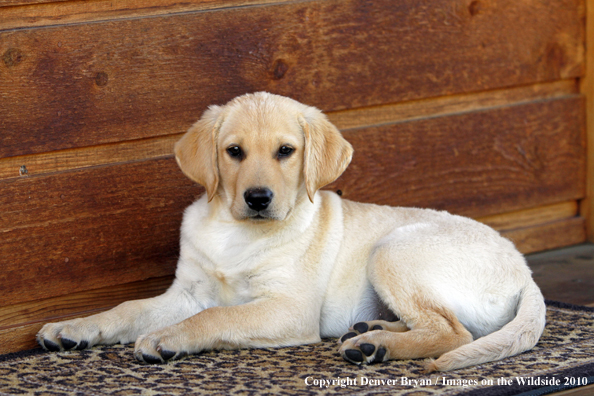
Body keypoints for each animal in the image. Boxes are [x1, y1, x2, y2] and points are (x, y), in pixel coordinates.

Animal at [38, 91, 544, 370]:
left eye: (286, 151)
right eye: (234, 151)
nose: (258, 198)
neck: (235, 232)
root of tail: (526, 274)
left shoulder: (287, 308)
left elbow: (216, 316)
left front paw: (168, 339)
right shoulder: (186, 293)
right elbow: (125, 309)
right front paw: (72, 328)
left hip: (392, 250)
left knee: (455, 333)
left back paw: (375, 346)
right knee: (439, 323)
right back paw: (371, 330)